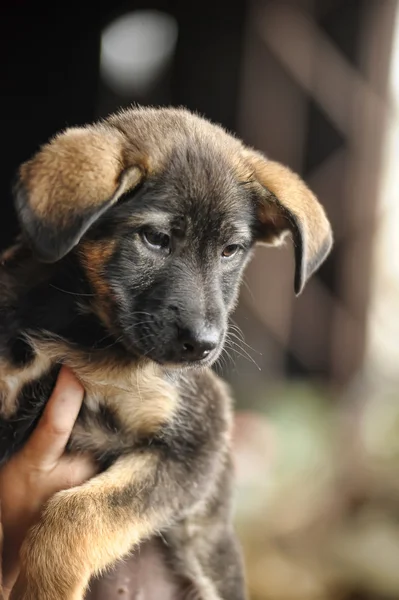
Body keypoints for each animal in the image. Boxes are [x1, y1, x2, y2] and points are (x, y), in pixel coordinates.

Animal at [0, 105, 332, 596]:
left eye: (231, 250)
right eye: (155, 239)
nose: (204, 346)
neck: (84, 332)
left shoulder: (196, 444)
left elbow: (75, 514)